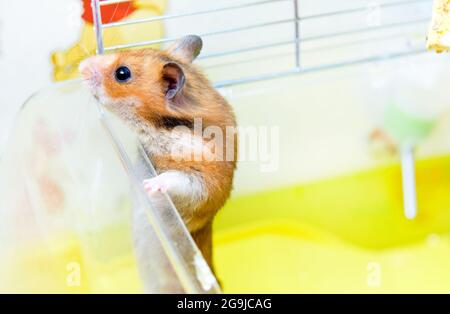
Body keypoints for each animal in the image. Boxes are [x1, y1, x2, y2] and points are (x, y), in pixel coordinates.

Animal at [78, 34, 237, 270]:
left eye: (122, 73)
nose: (80, 66)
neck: (164, 128)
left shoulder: (205, 183)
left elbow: (176, 178)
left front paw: (148, 186)